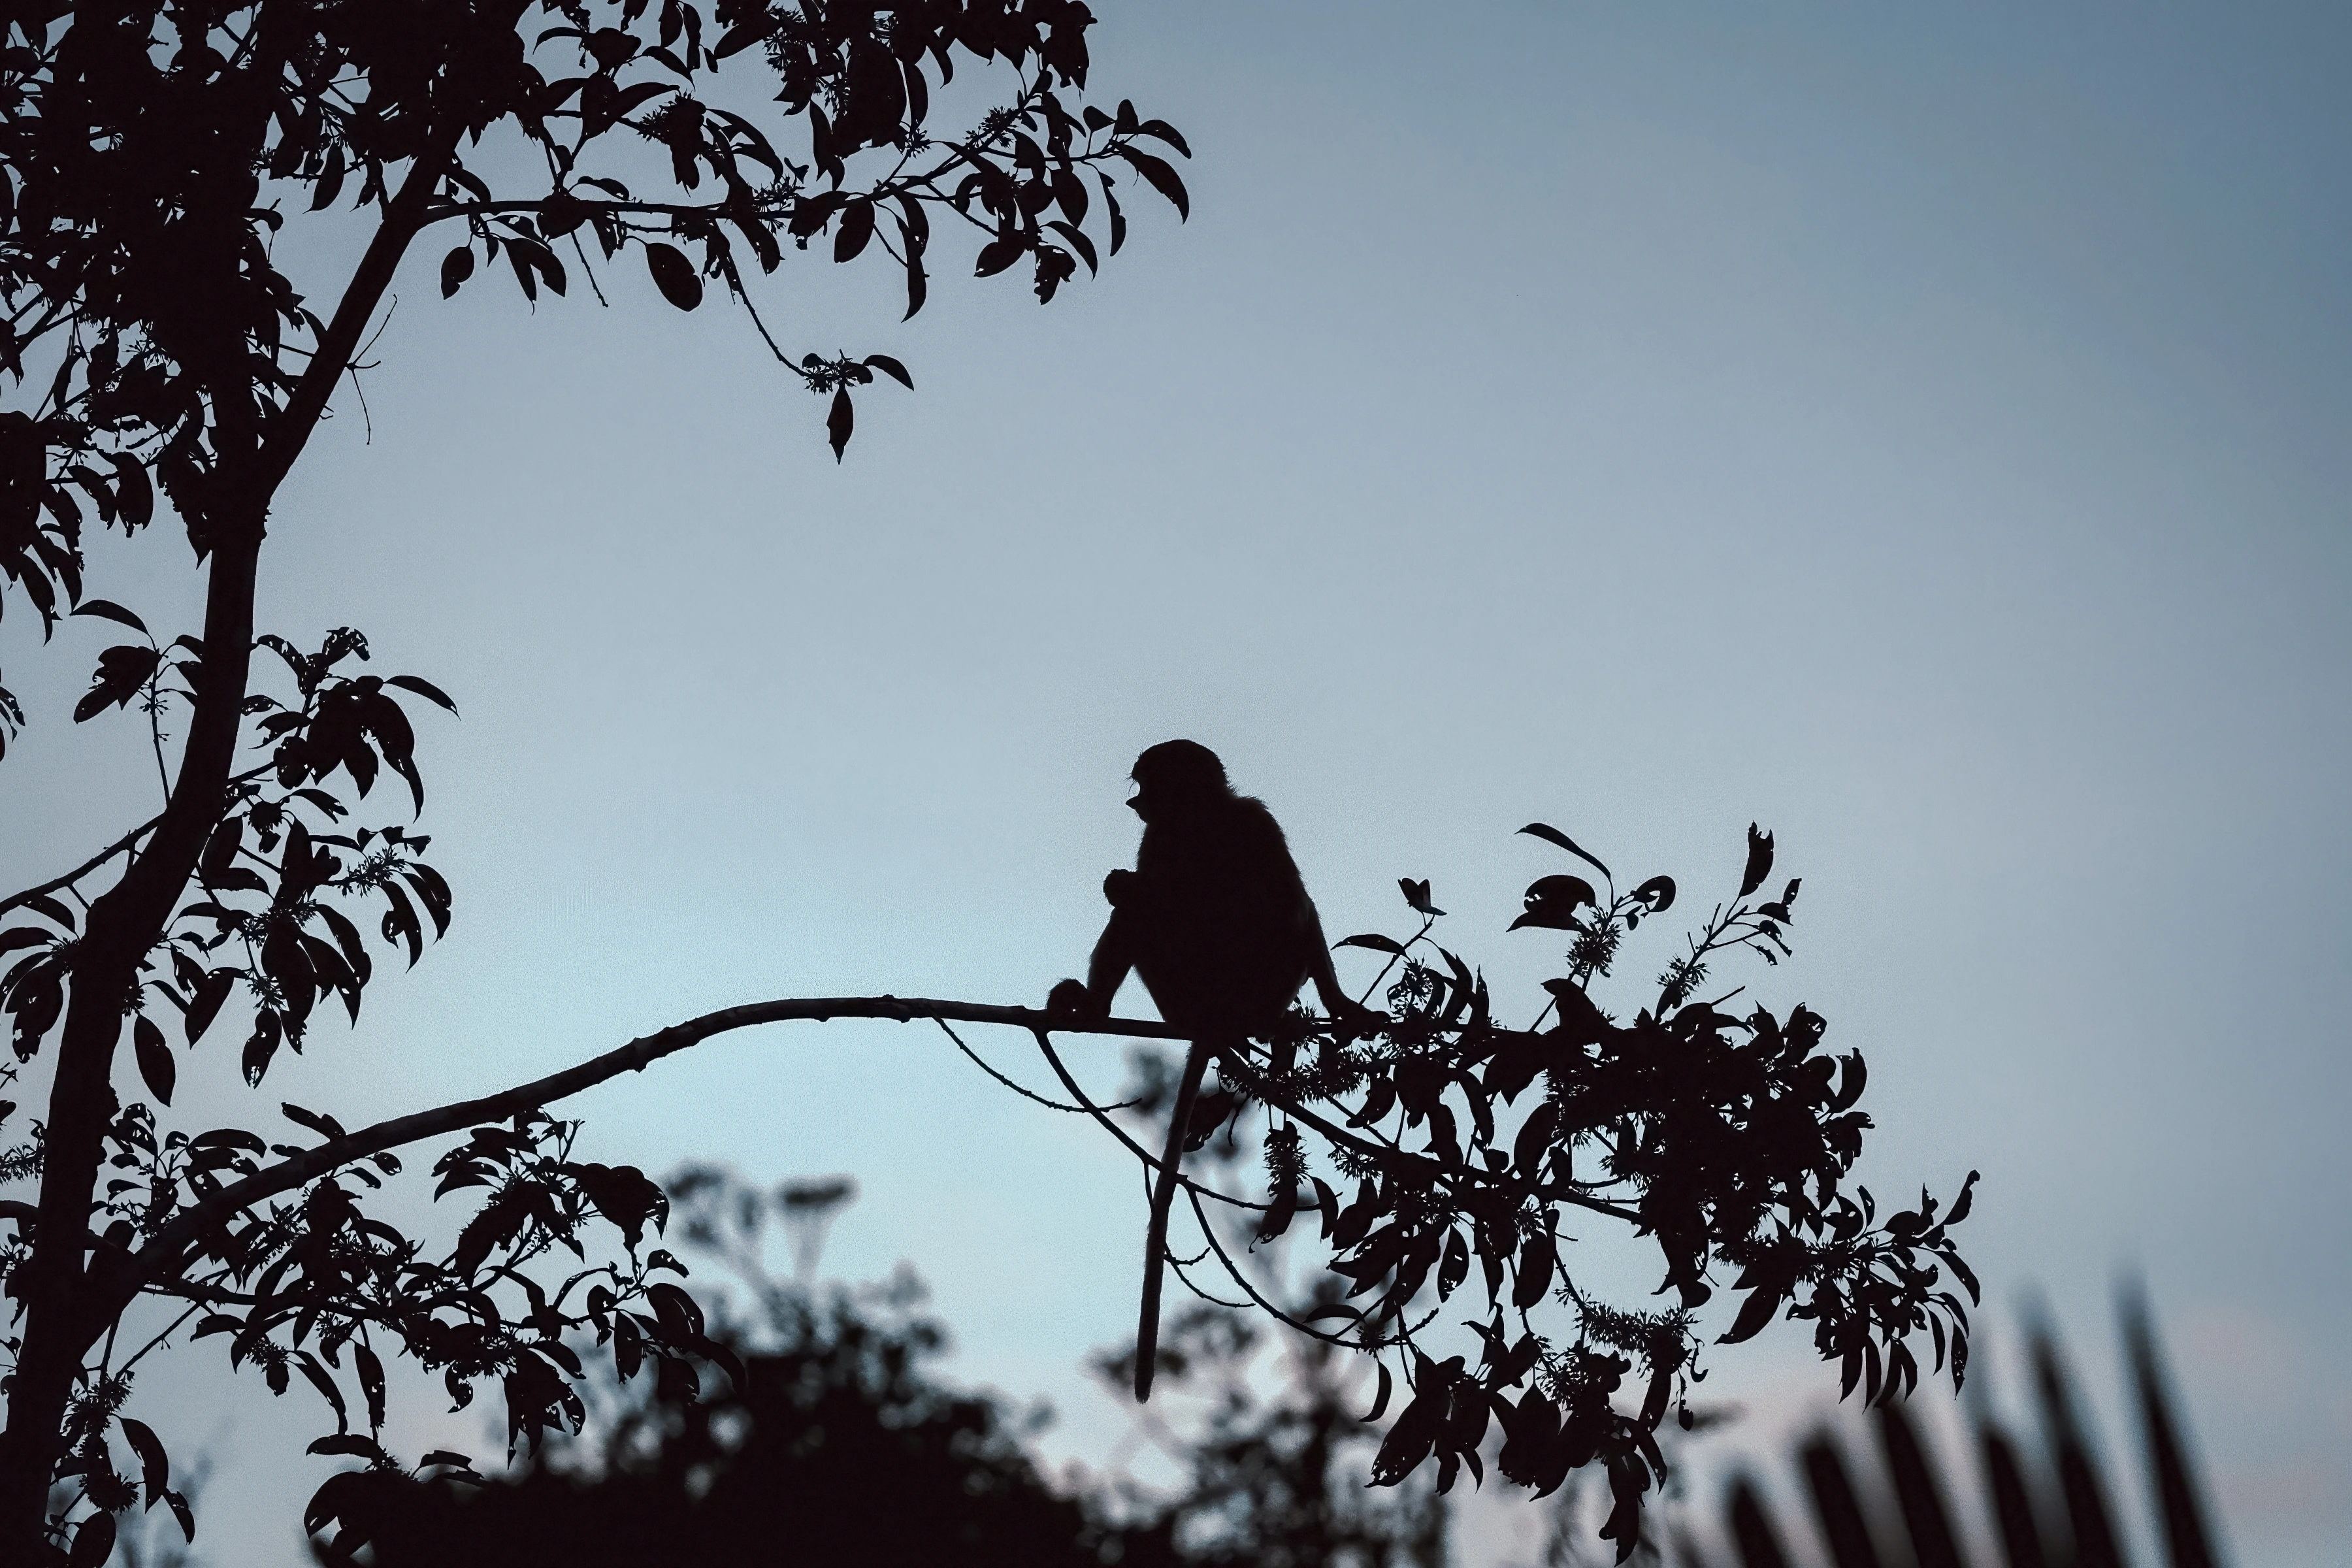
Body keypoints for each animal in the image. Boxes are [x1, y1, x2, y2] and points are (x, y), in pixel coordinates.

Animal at [1047, 740, 1375, 1401]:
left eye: (1149, 780)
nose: (1135, 800)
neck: (1199, 824)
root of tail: (1214, 1015)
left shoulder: (1249, 819)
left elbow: (1290, 896)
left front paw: (1339, 1002)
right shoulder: (1163, 837)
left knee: (1273, 908)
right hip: (1182, 997)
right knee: (1145, 908)